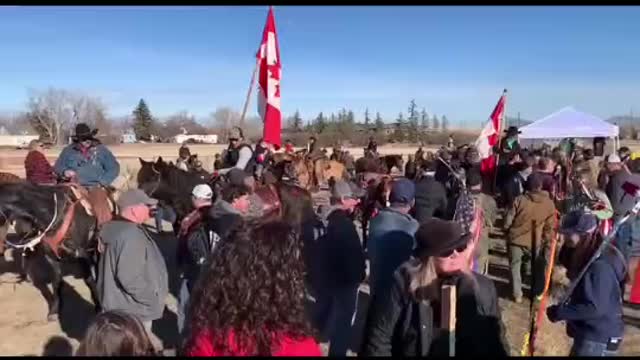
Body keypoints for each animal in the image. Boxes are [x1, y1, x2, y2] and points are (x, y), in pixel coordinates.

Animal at [0, 183, 112, 320]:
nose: (25, 235)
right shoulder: (52, 257)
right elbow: (56, 282)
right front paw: (54, 310)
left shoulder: (81, 255)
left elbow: (89, 280)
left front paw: (99, 307)